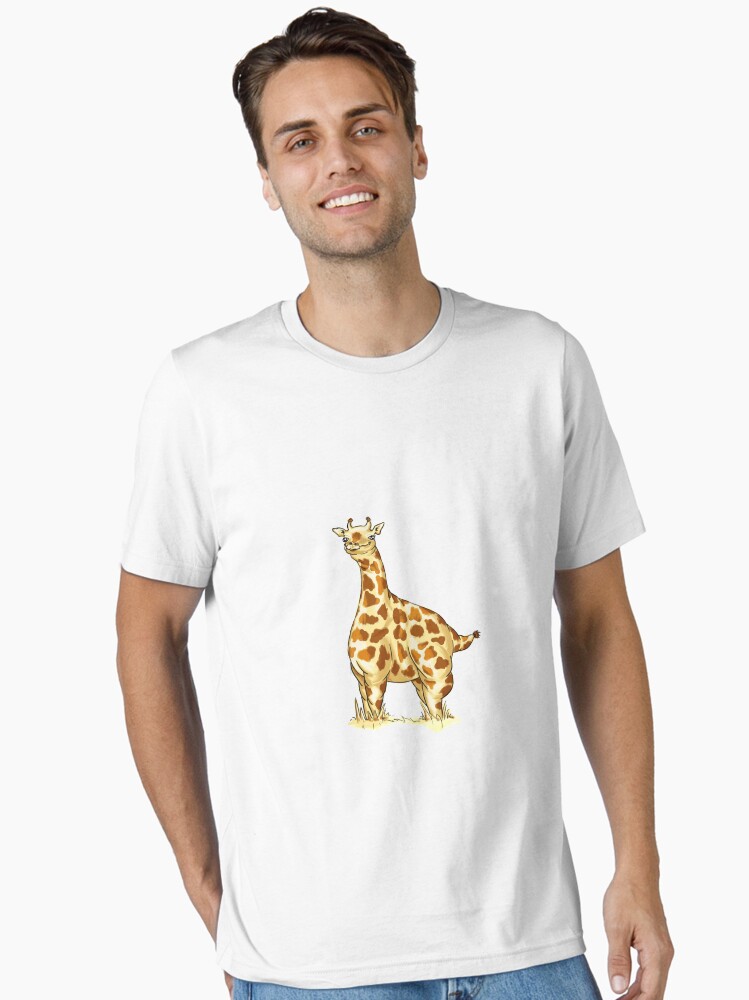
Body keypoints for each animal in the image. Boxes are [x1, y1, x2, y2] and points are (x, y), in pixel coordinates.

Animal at [332, 516, 480, 723]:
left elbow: (376, 709)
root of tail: (454, 635)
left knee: (436, 707)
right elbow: (368, 710)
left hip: (437, 673)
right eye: (344, 538)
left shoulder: (377, 674)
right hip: (419, 677)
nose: (353, 546)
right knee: (428, 706)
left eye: (372, 536)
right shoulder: (360, 676)